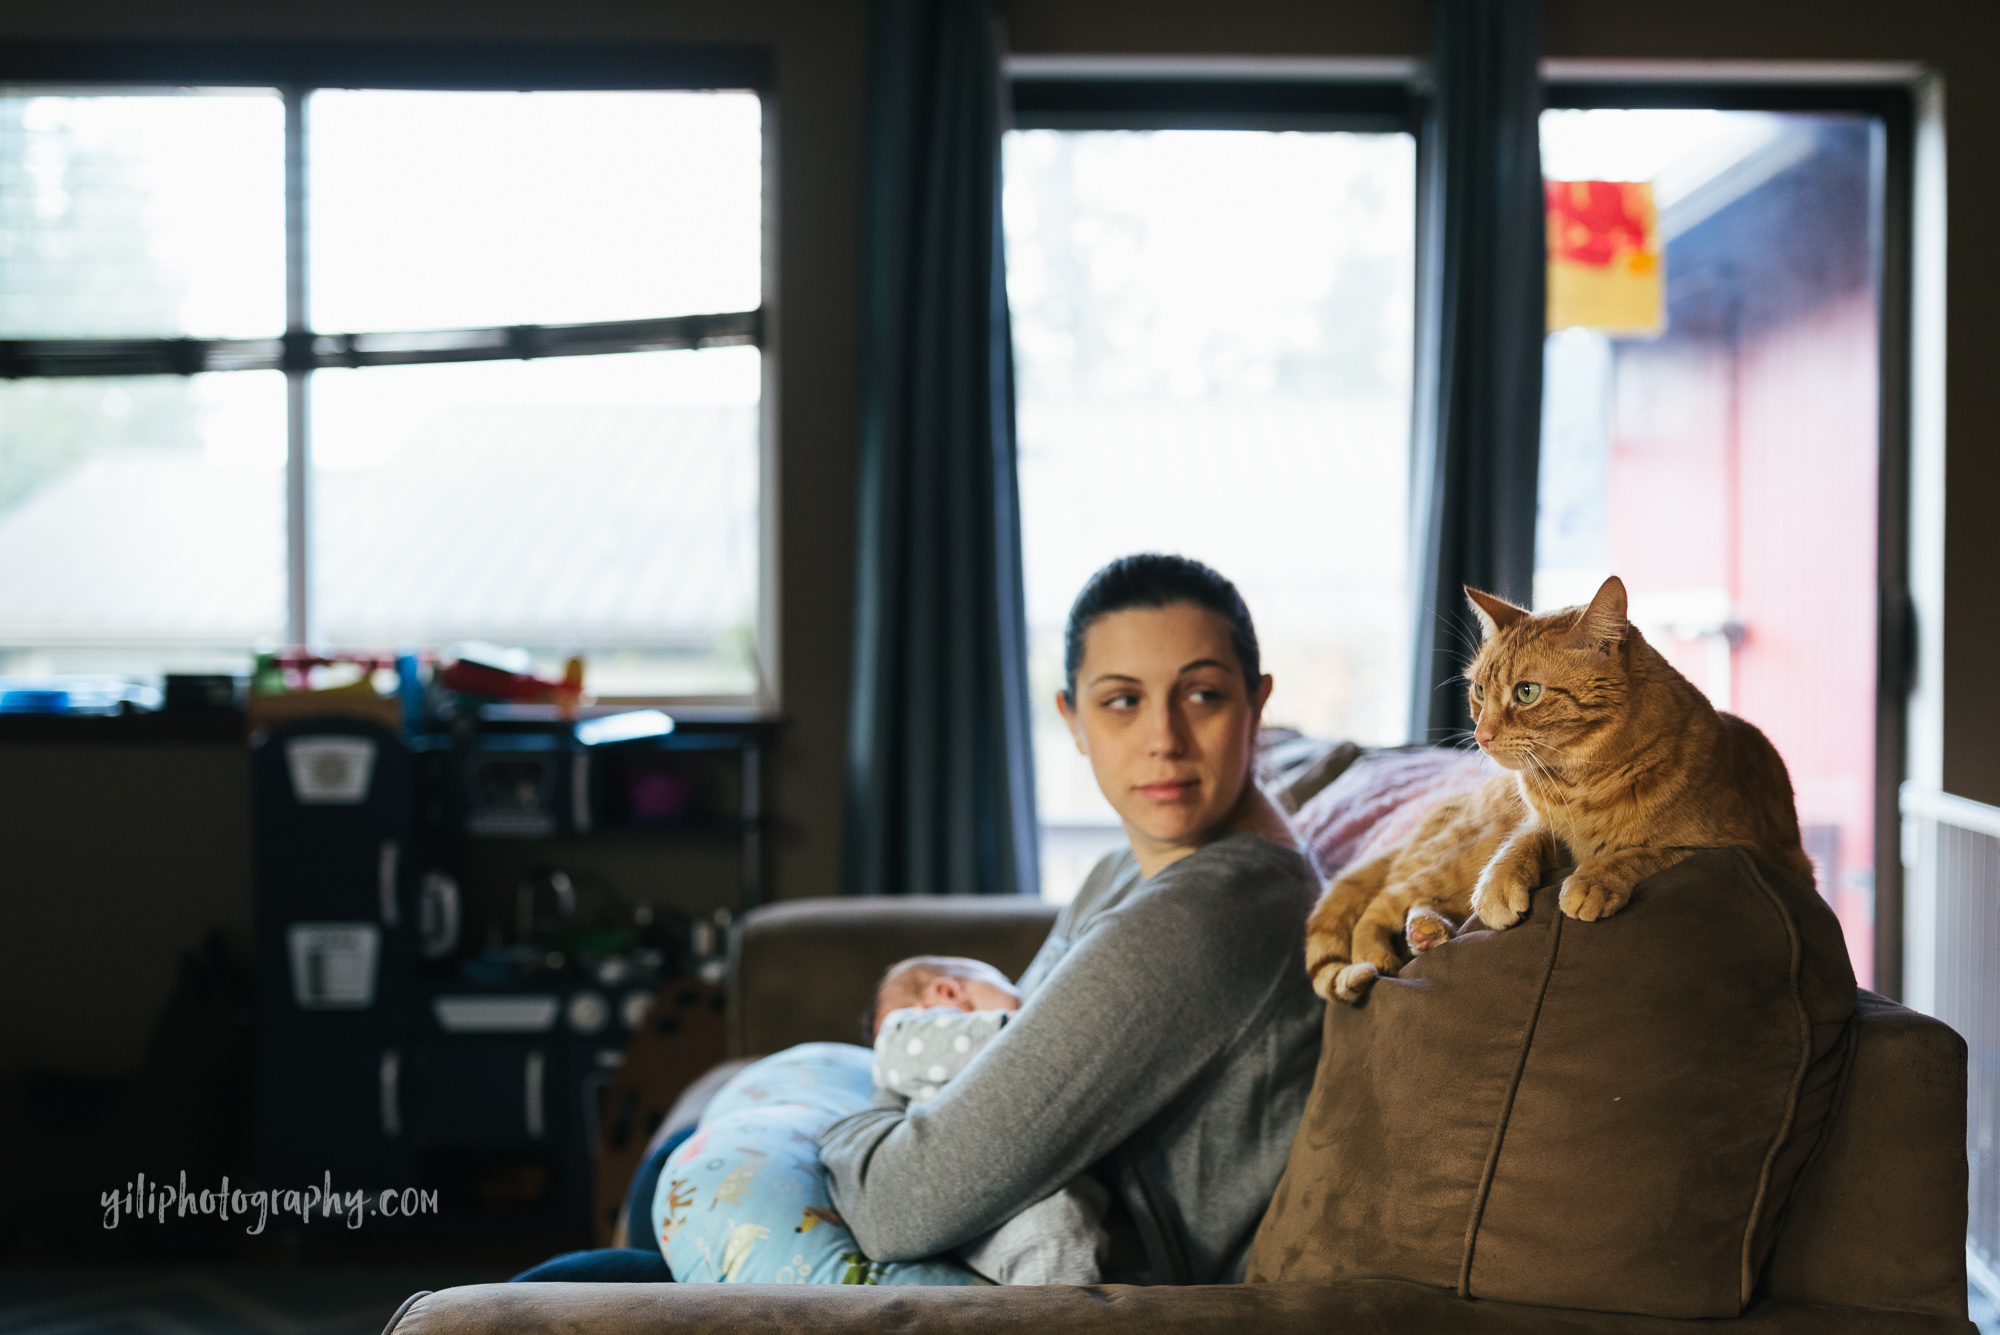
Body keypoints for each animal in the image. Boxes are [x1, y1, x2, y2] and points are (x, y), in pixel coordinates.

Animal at [1304, 575, 1824, 999]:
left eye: (1526, 692)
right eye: (1478, 691)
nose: (1480, 735)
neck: (1581, 783)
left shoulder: (1744, 848)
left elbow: (1646, 851)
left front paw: (1592, 880)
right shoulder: (1540, 824)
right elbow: (1523, 842)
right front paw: (1499, 885)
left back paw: (1427, 933)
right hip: (1454, 858)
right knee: (1385, 900)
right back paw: (1388, 950)